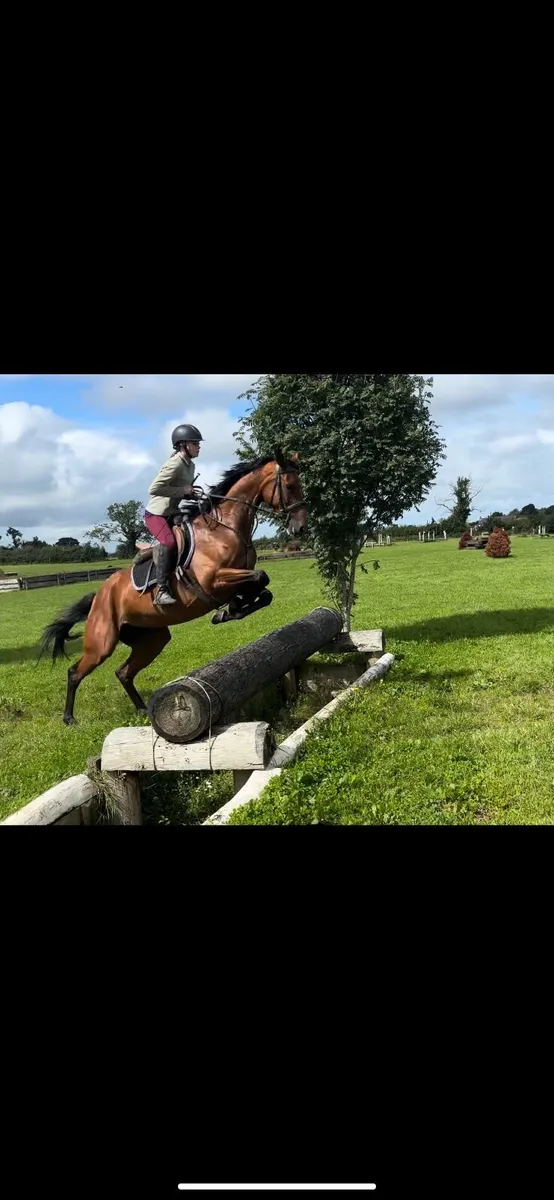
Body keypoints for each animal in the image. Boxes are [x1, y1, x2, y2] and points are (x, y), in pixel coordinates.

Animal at [39, 452, 307, 725]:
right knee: (75, 672)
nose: (300, 527)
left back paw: (142, 709)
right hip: (102, 643)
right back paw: (69, 718)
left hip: (152, 639)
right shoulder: (214, 581)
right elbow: (260, 577)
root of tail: (98, 597)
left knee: (124, 672)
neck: (225, 527)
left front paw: (232, 608)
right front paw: (228, 610)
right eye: (289, 486)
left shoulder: (237, 578)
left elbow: (263, 588)